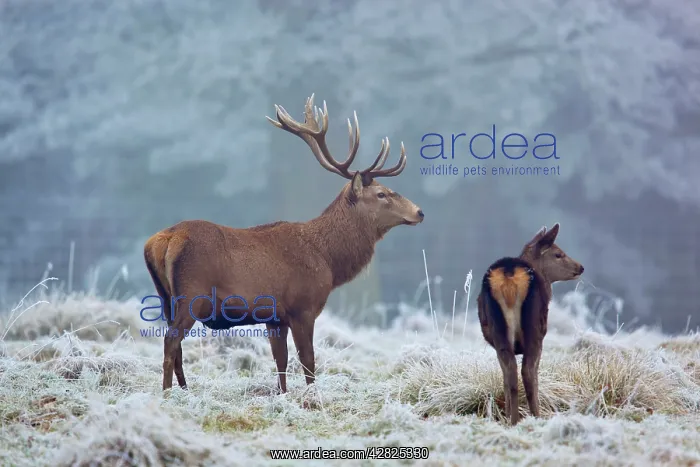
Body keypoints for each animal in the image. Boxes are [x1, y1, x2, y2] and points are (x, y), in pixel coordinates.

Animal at [143, 94, 425, 395]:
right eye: (382, 194)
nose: (419, 212)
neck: (328, 258)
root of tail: (162, 241)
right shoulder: (303, 307)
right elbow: (308, 360)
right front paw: (312, 396)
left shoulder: (274, 317)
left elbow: (280, 360)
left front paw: (283, 394)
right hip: (192, 295)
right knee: (171, 341)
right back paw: (167, 393)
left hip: (165, 298)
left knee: (175, 345)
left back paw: (184, 390)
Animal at [476, 223, 584, 425]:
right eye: (558, 254)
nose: (580, 267)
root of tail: (509, 275)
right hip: (534, 328)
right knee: (527, 370)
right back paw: (535, 417)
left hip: (498, 329)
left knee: (510, 371)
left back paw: (512, 420)